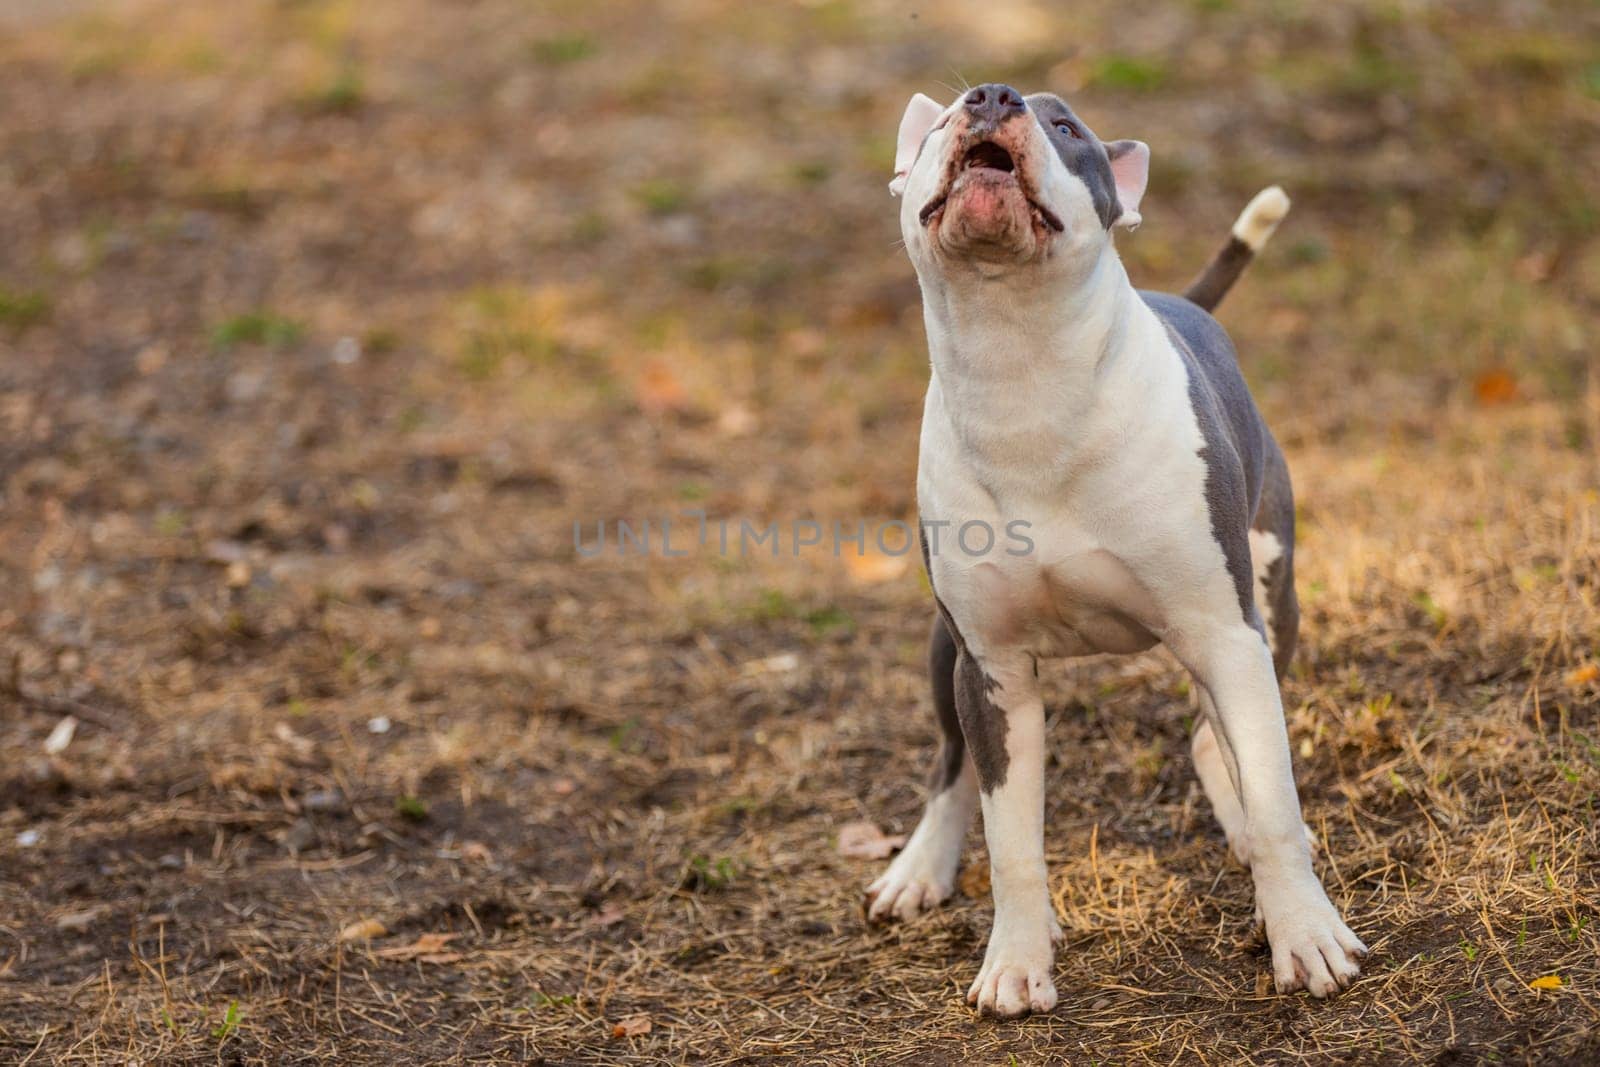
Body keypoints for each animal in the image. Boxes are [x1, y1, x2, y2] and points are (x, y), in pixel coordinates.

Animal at [870, 83, 1369, 1017]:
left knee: (1222, 744)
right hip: (945, 647)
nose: (991, 95)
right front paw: (1016, 962)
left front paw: (1305, 933)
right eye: (952, 108)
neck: (1021, 371)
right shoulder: (991, 667)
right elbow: (1011, 836)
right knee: (953, 766)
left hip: (1267, 604)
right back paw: (919, 867)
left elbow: (1274, 798)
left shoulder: (1226, 630)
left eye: (1066, 126)